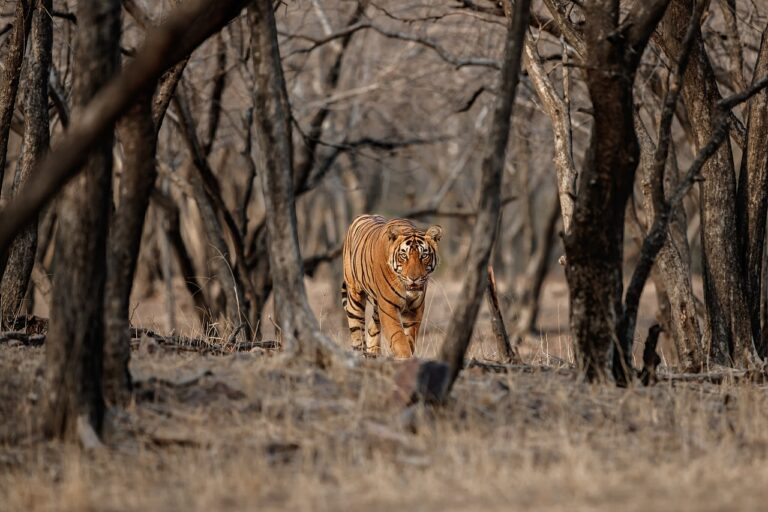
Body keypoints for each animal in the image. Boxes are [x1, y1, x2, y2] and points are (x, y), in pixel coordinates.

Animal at [340, 214, 440, 358]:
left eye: (424, 255)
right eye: (403, 256)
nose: (414, 278)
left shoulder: (415, 309)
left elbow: (410, 338)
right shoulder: (388, 307)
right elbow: (398, 338)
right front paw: (404, 357)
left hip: (377, 305)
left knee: (372, 328)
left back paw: (374, 354)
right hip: (355, 295)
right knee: (357, 332)